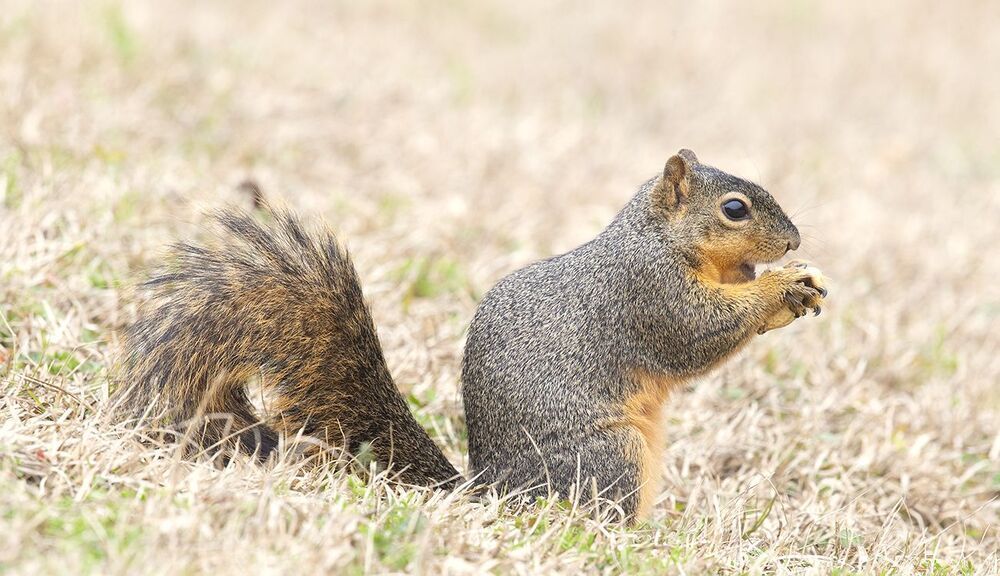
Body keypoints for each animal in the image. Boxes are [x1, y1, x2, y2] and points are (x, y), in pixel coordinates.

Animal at [112, 149, 827, 521]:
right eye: (733, 209)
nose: (794, 241)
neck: (656, 239)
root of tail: (491, 494)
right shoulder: (648, 294)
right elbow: (698, 335)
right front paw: (782, 288)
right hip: (611, 457)